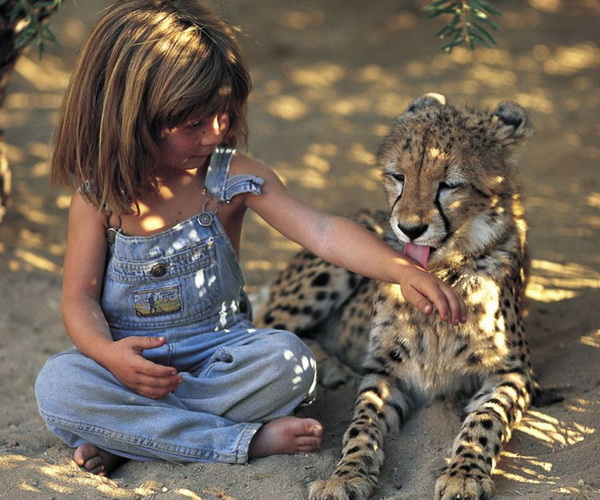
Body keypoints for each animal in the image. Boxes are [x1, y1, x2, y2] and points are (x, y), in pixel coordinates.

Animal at [255, 94, 556, 500]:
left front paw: (464, 473)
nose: (410, 229)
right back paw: (328, 367)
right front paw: (345, 475)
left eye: (450, 184)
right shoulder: (386, 371)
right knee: (265, 325)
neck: (440, 275)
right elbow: (362, 423)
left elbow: (485, 419)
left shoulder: (513, 373)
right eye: (398, 177)